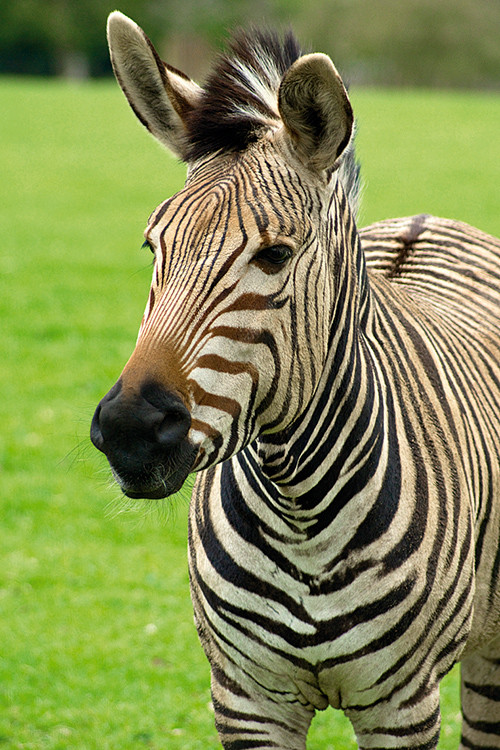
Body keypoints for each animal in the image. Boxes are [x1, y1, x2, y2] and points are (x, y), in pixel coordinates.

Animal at [92, 13, 500, 750]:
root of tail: (428, 221)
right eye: (152, 247)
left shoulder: (402, 707)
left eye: (275, 255)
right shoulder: (247, 699)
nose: (131, 429)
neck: (300, 509)